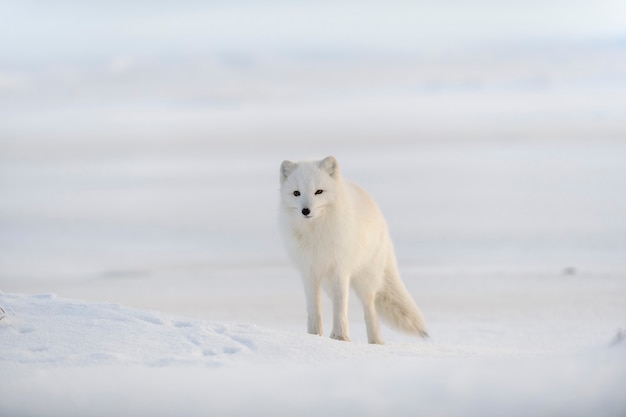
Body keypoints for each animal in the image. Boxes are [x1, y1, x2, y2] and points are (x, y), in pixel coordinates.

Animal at [280, 154, 428, 342]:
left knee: (369, 307)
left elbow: (341, 307)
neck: (317, 234)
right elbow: (314, 308)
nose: (305, 210)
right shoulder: (309, 271)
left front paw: (341, 337)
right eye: (296, 193)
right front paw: (314, 336)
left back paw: (375, 341)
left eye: (319, 192)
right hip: (328, 284)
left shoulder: (340, 269)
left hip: (366, 279)